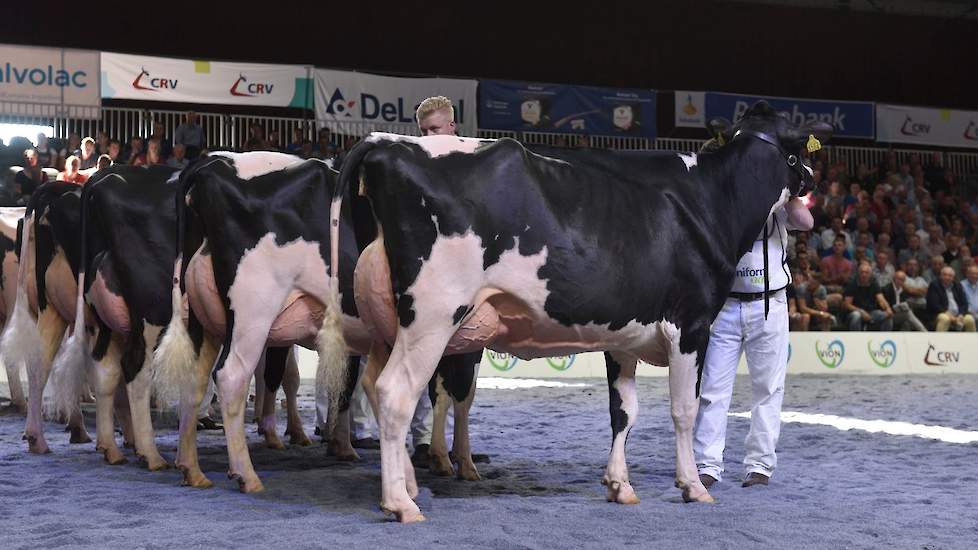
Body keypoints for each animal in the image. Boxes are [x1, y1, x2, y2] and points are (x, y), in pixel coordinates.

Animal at [330, 101, 832, 524]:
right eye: (796, 148)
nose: (811, 181)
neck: (713, 200)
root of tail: (385, 143)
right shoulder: (690, 325)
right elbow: (685, 409)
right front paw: (693, 486)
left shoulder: (624, 333)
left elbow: (623, 410)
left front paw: (619, 486)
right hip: (433, 314)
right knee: (396, 392)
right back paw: (401, 504)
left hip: (388, 319)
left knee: (373, 384)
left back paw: (406, 487)